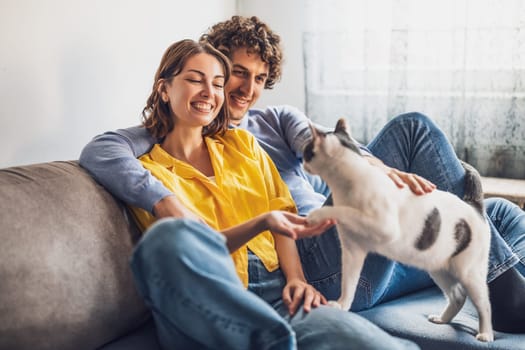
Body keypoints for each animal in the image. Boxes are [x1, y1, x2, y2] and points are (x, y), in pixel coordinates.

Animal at [302, 119, 492, 342]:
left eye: (307, 151)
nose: (302, 162)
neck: (345, 184)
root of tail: (474, 206)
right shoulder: (352, 251)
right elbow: (348, 285)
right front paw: (341, 306)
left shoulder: (383, 225)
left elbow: (345, 210)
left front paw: (317, 215)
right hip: (439, 270)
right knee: (458, 296)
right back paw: (442, 320)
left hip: (469, 273)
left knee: (484, 304)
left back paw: (486, 334)